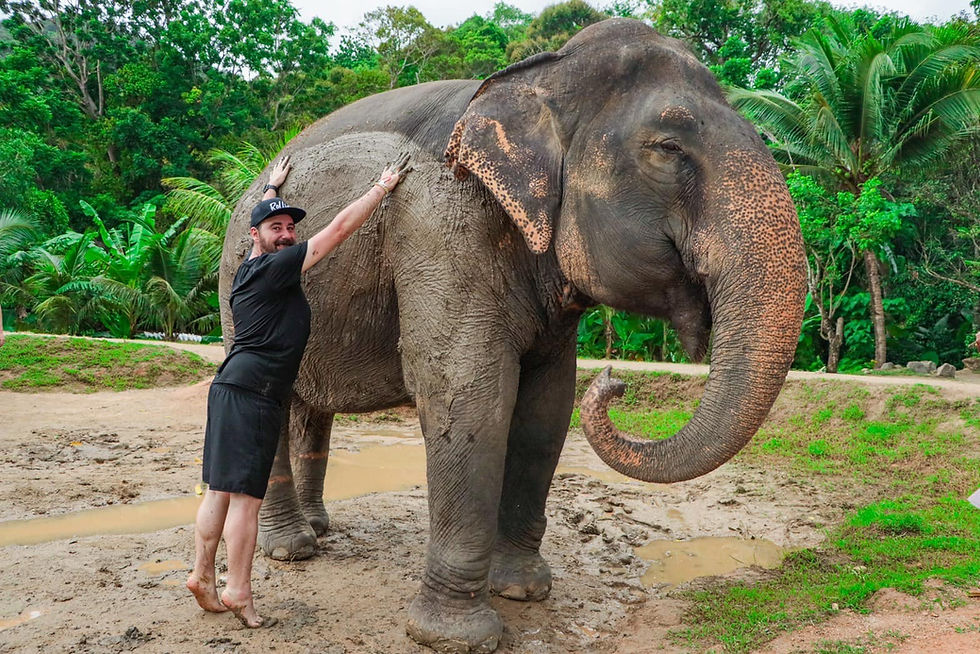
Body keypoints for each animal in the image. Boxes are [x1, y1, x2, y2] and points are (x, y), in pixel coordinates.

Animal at [218, 17, 806, 654]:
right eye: (669, 148)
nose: (615, 381)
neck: (544, 73)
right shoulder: (442, 225)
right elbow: (469, 396)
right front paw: (454, 637)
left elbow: (547, 406)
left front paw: (523, 592)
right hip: (234, 285)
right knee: (272, 401)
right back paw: (293, 549)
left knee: (309, 406)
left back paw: (320, 529)